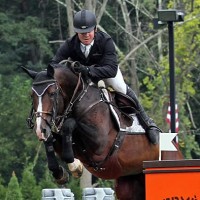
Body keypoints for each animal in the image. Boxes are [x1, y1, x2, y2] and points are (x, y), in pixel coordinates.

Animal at [21, 61, 184, 199]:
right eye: (31, 95)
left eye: (52, 93)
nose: (40, 128)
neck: (79, 99)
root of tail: (177, 149)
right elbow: (51, 140)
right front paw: (60, 172)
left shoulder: (100, 145)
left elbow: (70, 124)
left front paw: (75, 166)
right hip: (128, 185)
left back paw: (152, 130)